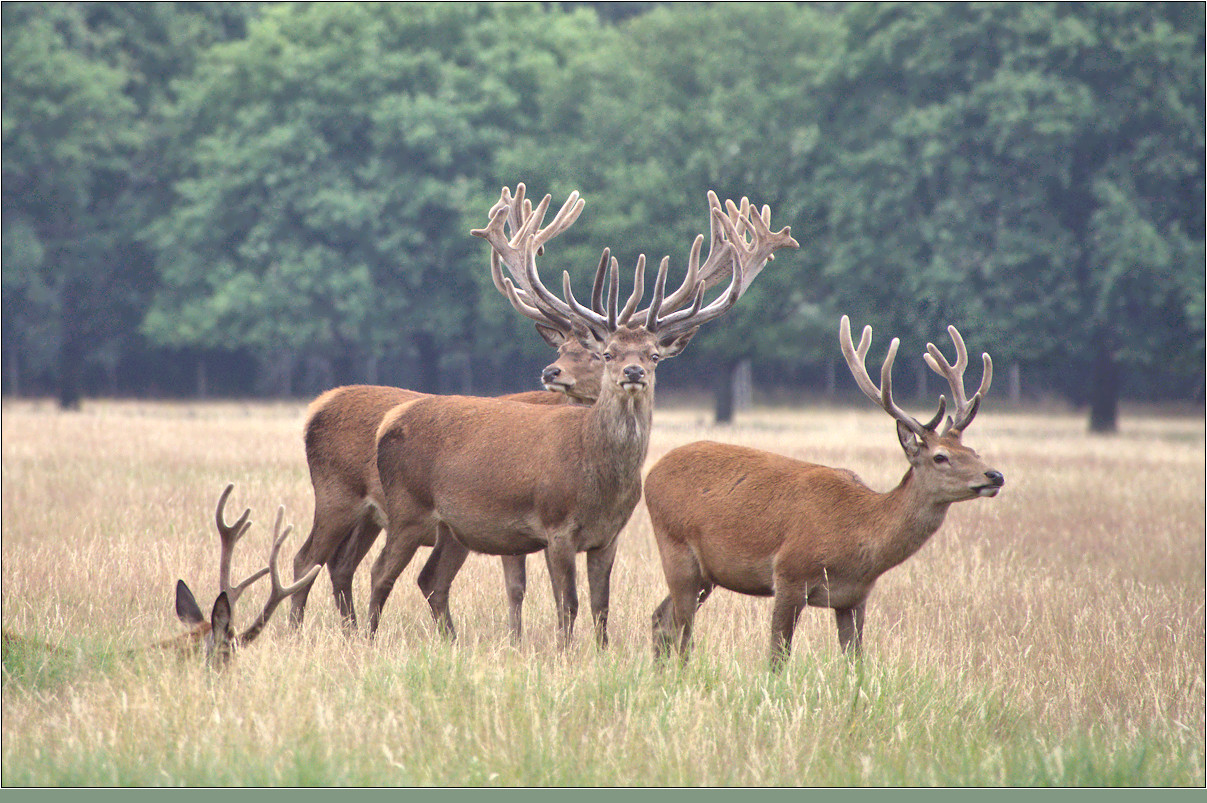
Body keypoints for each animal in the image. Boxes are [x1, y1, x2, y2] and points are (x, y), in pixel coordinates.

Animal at [287, 183, 608, 637]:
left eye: (599, 353)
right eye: (571, 349)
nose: (553, 372)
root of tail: (318, 407)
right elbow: (517, 587)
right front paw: (517, 640)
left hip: (370, 516)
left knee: (340, 565)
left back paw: (350, 631)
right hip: (336, 494)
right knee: (307, 559)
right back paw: (298, 630)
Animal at [366, 185, 801, 647]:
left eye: (654, 355)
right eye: (607, 352)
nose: (633, 372)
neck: (596, 480)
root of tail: (388, 425)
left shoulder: (608, 536)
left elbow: (601, 606)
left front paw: (601, 651)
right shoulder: (556, 528)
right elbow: (568, 604)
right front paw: (563, 651)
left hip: (454, 528)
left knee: (431, 580)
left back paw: (449, 641)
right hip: (408, 508)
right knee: (379, 573)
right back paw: (368, 639)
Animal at [646, 316, 1004, 666]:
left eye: (973, 451)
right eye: (940, 456)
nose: (995, 475)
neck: (858, 539)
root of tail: (651, 473)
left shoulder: (854, 597)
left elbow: (855, 661)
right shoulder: (789, 574)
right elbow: (777, 656)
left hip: (707, 573)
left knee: (661, 619)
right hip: (675, 547)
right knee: (682, 631)